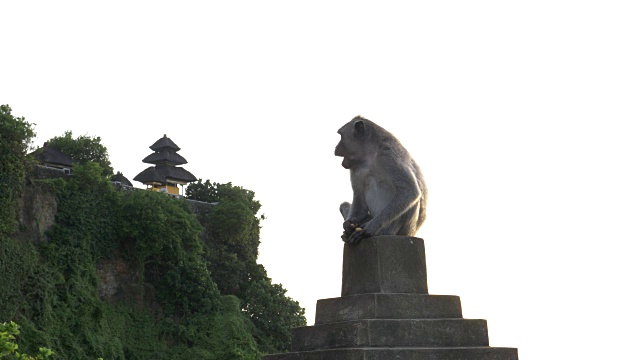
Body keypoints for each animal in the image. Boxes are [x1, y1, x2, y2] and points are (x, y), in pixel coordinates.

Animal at [332, 115, 428, 245]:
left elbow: (409, 191)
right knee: (345, 205)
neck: (369, 156)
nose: (335, 149)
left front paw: (370, 228)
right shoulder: (354, 167)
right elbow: (359, 199)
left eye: (341, 136)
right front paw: (348, 226)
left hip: (403, 229)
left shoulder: (388, 155)